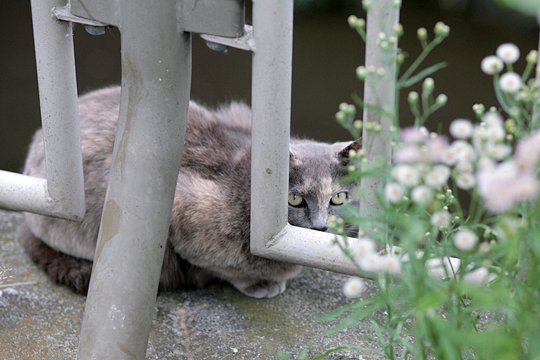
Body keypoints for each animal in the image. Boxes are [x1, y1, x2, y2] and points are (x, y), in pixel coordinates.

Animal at [20, 86, 358, 298]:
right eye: (295, 199)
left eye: (338, 198)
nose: (321, 226)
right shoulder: (185, 213)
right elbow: (222, 266)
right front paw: (259, 284)